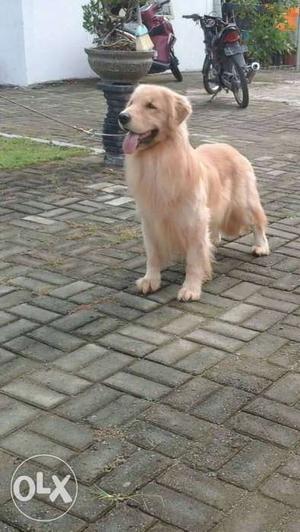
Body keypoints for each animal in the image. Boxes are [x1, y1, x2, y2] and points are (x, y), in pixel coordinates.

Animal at [119, 85, 270, 302]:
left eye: (151, 106)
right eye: (131, 103)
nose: (122, 116)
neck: (158, 159)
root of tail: (230, 147)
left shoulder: (193, 220)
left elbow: (194, 258)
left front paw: (191, 288)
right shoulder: (150, 220)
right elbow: (153, 254)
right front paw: (151, 279)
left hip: (243, 203)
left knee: (258, 221)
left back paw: (261, 246)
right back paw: (214, 239)